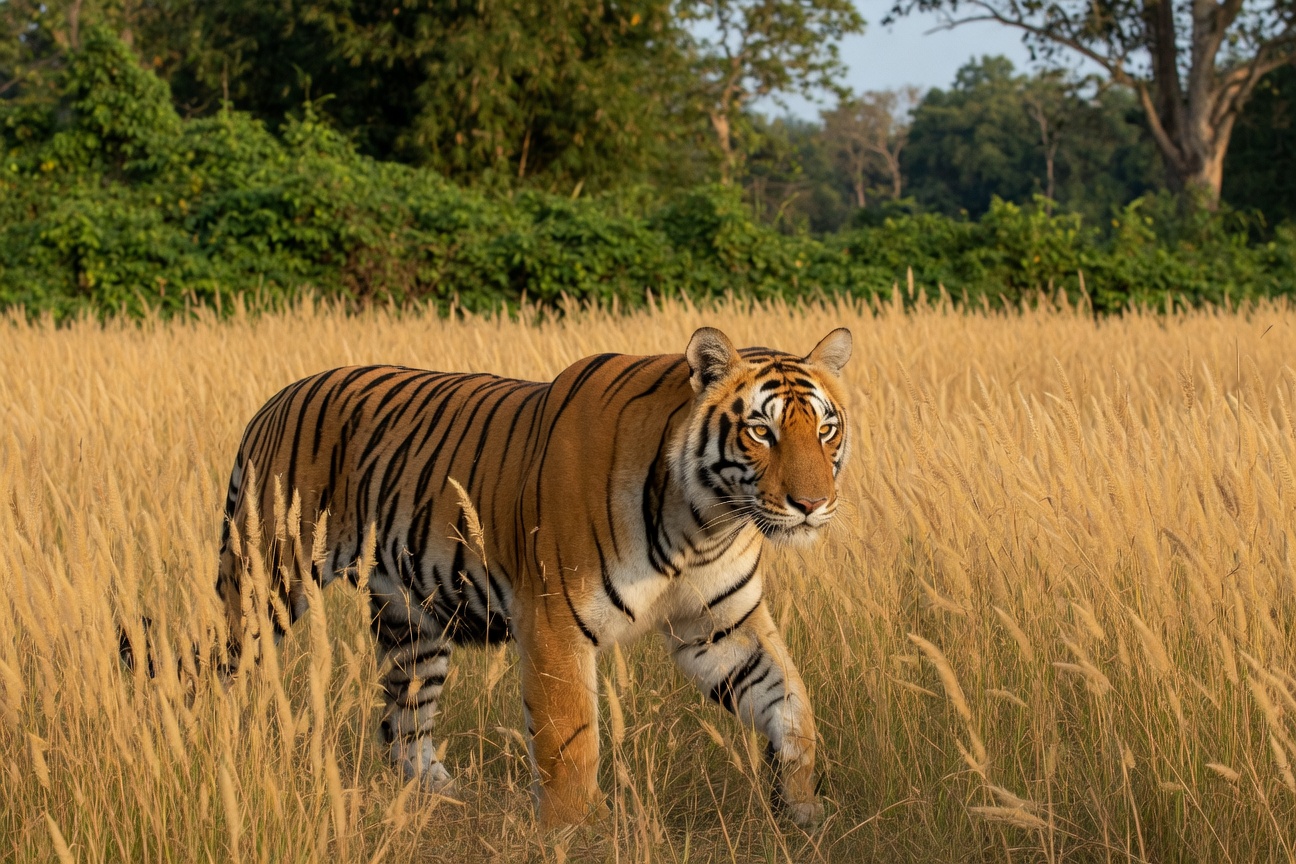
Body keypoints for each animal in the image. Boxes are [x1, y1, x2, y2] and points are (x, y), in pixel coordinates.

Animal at [178, 326, 851, 827]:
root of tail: (274, 401)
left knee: (402, 722)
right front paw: (574, 831)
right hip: (263, 579)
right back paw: (201, 748)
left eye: (825, 429)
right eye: (760, 431)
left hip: (413, 621)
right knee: (211, 664)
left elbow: (792, 705)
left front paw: (802, 809)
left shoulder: (720, 626)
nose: (813, 504)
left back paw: (444, 797)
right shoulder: (555, 621)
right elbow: (571, 741)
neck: (706, 522)